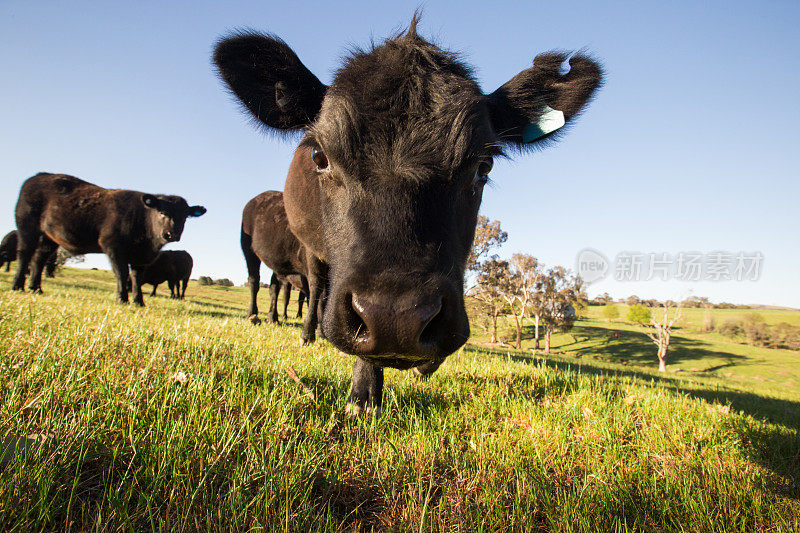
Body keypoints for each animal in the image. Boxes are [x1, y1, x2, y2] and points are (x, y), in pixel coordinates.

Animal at [12, 171, 205, 302]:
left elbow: (136, 277)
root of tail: (37, 176)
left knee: (39, 258)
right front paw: (122, 298)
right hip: (27, 225)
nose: (171, 234)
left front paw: (138, 301)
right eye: (162, 211)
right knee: (25, 253)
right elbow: (121, 273)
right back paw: (17, 286)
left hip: (49, 237)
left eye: (185, 216)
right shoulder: (113, 247)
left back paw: (35, 288)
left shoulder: (140, 257)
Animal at [238, 190, 312, 324]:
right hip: (248, 249)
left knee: (274, 288)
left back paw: (273, 316)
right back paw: (252, 314)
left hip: (277, 264)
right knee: (254, 281)